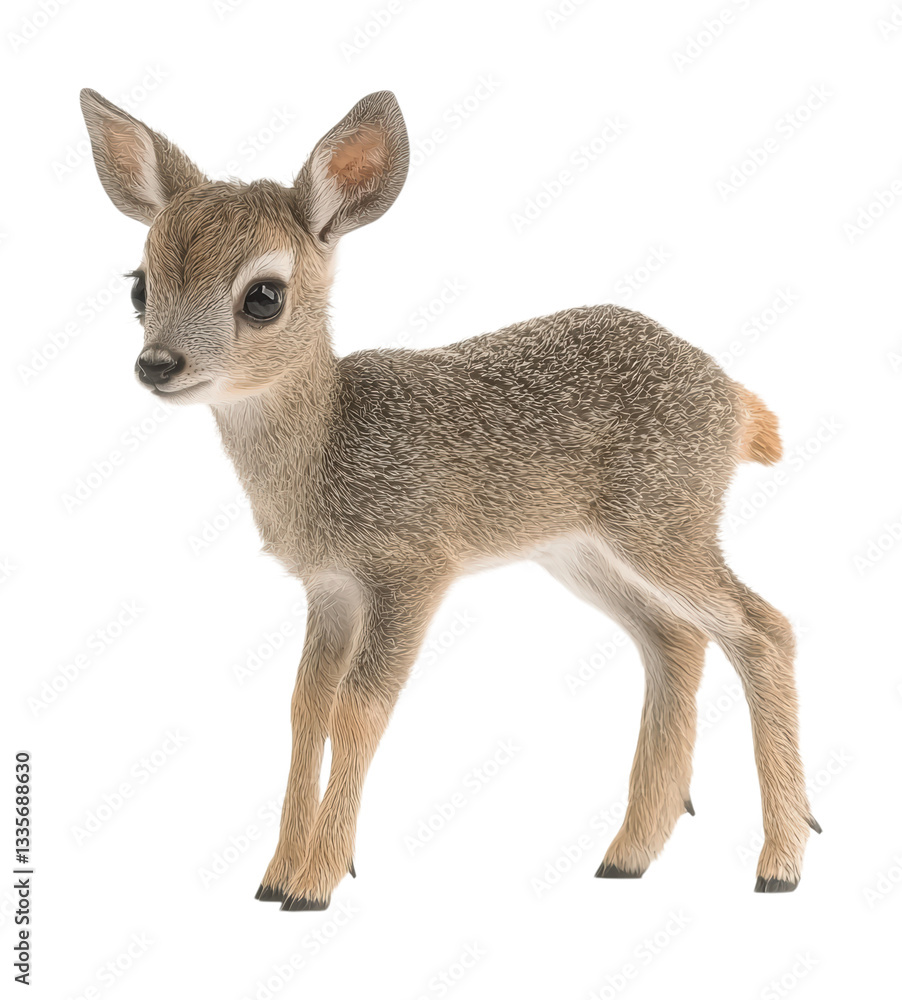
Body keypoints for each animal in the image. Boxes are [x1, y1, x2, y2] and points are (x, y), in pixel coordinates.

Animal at [80, 87, 819, 910]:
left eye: (264, 295)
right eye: (140, 285)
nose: (157, 363)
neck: (325, 452)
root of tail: (738, 402)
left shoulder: (412, 571)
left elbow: (359, 708)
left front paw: (317, 881)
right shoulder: (330, 589)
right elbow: (306, 707)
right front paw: (274, 876)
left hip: (664, 527)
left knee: (764, 628)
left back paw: (780, 862)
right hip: (583, 552)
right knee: (677, 640)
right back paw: (627, 854)